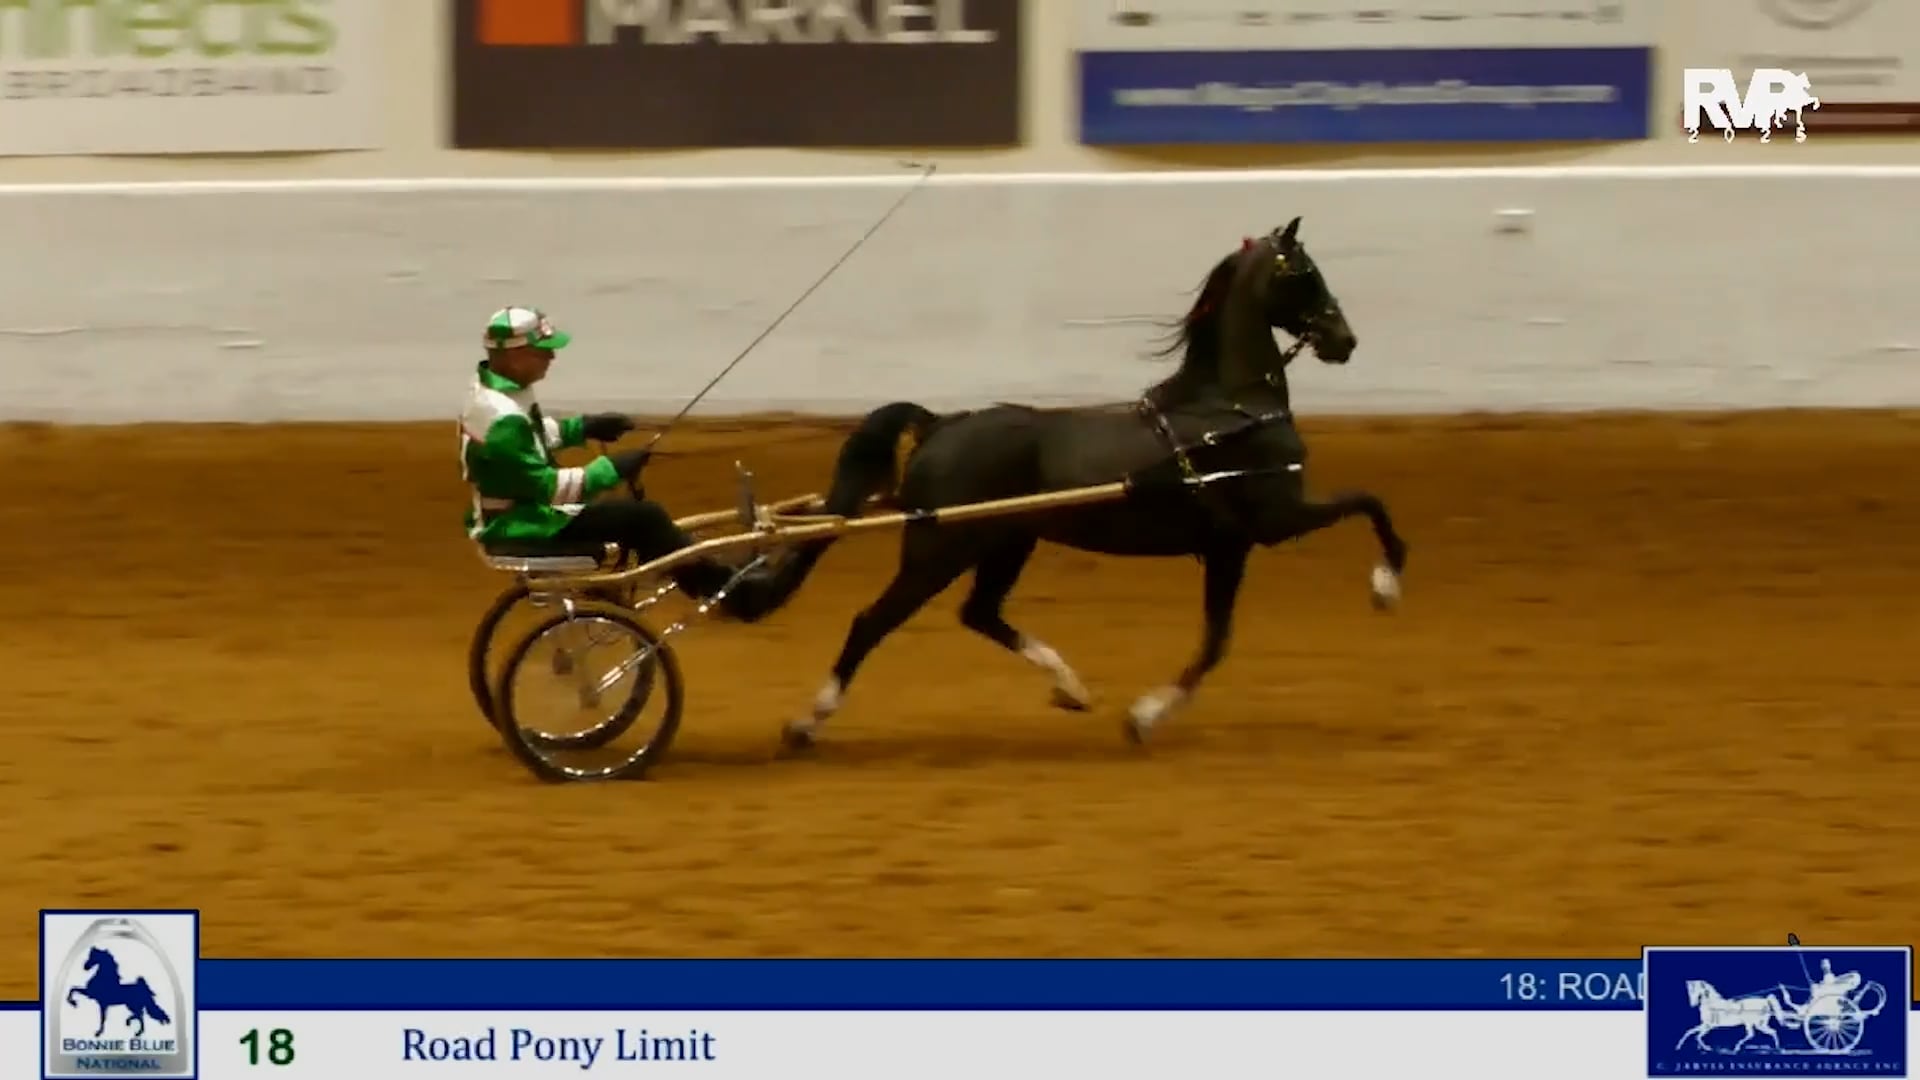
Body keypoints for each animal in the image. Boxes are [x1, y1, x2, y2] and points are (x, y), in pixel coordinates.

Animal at [763, 216, 1409, 746]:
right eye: (1305, 273)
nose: (1344, 341)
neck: (1230, 409)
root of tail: (942, 424)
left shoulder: (1230, 545)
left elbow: (1216, 640)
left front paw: (1144, 715)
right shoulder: (1276, 520)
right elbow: (1369, 503)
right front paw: (1386, 585)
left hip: (1007, 541)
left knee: (979, 613)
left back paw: (1070, 686)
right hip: (939, 549)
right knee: (873, 621)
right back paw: (806, 723)